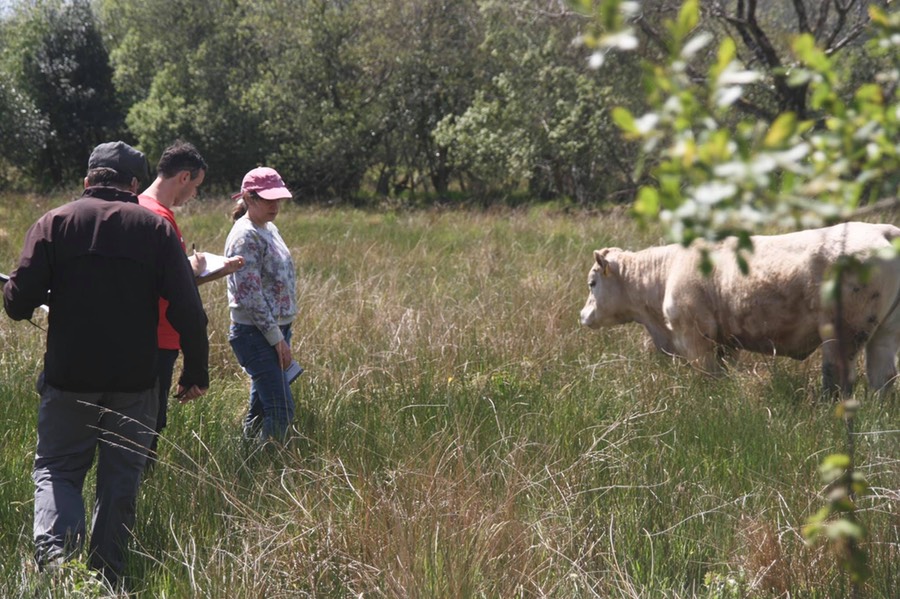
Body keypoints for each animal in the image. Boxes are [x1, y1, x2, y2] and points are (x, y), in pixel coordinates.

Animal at [580, 223, 900, 396]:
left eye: (592, 283)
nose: (583, 316)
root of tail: (883, 230)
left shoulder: (695, 339)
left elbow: (707, 379)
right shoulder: (726, 343)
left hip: (843, 334)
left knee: (838, 381)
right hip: (884, 334)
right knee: (883, 380)